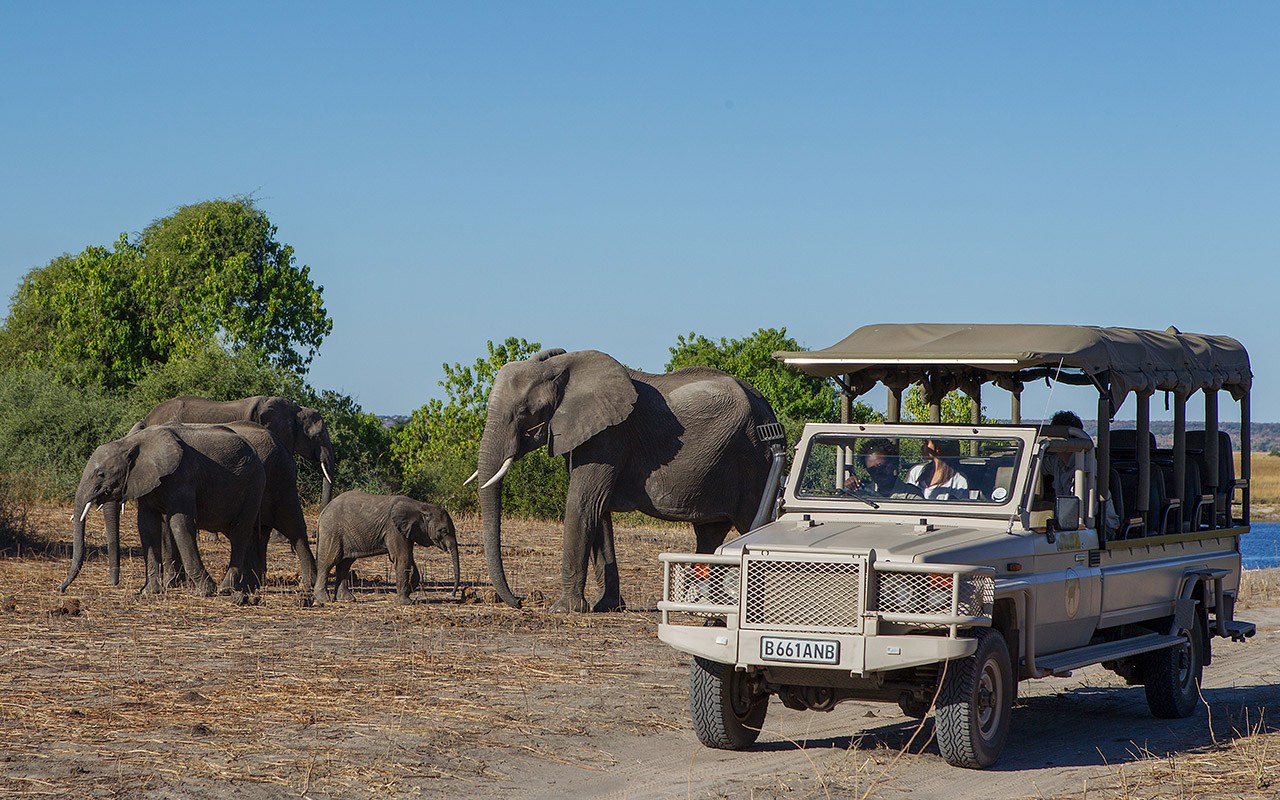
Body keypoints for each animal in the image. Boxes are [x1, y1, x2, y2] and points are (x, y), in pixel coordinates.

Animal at [61, 424, 266, 599]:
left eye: (101, 474)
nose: (61, 588)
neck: (130, 443)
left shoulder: (182, 477)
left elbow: (180, 524)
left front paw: (204, 592)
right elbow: (146, 526)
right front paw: (148, 592)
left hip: (254, 486)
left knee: (240, 532)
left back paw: (226, 589)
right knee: (240, 533)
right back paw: (247, 587)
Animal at [314, 486, 460, 604]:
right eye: (443, 531)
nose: (452, 595)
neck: (421, 506)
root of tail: (323, 511)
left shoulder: (407, 531)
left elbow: (408, 558)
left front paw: (409, 590)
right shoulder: (394, 528)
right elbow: (402, 558)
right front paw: (406, 602)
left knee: (345, 563)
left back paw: (347, 599)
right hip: (332, 530)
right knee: (329, 561)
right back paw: (324, 599)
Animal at [476, 345, 778, 614]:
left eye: (524, 412)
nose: (520, 601)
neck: (560, 368)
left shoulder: (609, 436)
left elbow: (583, 503)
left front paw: (562, 610)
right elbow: (598, 513)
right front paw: (607, 606)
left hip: (755, 459)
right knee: (709, 532)